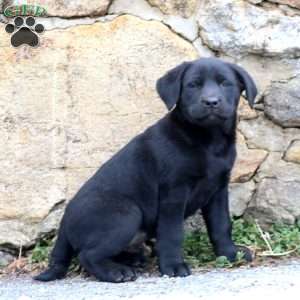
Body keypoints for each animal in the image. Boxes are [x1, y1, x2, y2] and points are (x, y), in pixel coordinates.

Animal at [34, 57, 255, 282]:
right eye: (193, 85)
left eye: (225, 83)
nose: (211, 102)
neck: (209, 140)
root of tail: (64, 221)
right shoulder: (174, 193)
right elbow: (172, 233)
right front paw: (173, 266)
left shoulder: (218, 189)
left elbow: (221, 225)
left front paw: (230, 254)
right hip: (127, 213)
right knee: (87, 255)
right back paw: (117, 272)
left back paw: (133, 260)